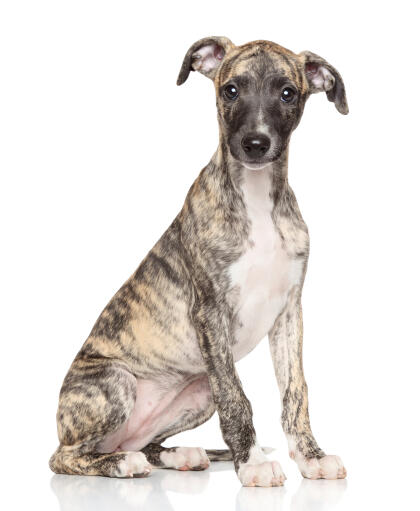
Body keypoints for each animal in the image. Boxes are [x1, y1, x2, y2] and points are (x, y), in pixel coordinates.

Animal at [50, 37, 348, 488]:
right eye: (231, 90)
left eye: (287, 93)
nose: (255, 144)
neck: (257, 200)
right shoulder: (210, 312)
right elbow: (237, 398)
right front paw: (253, 463)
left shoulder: (289, 312)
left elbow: (296, 391)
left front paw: (312, 457)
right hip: (115, 382)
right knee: (65, 458)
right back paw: (122, 464)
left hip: (198, 393)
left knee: (145, 443)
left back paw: (178, 454)